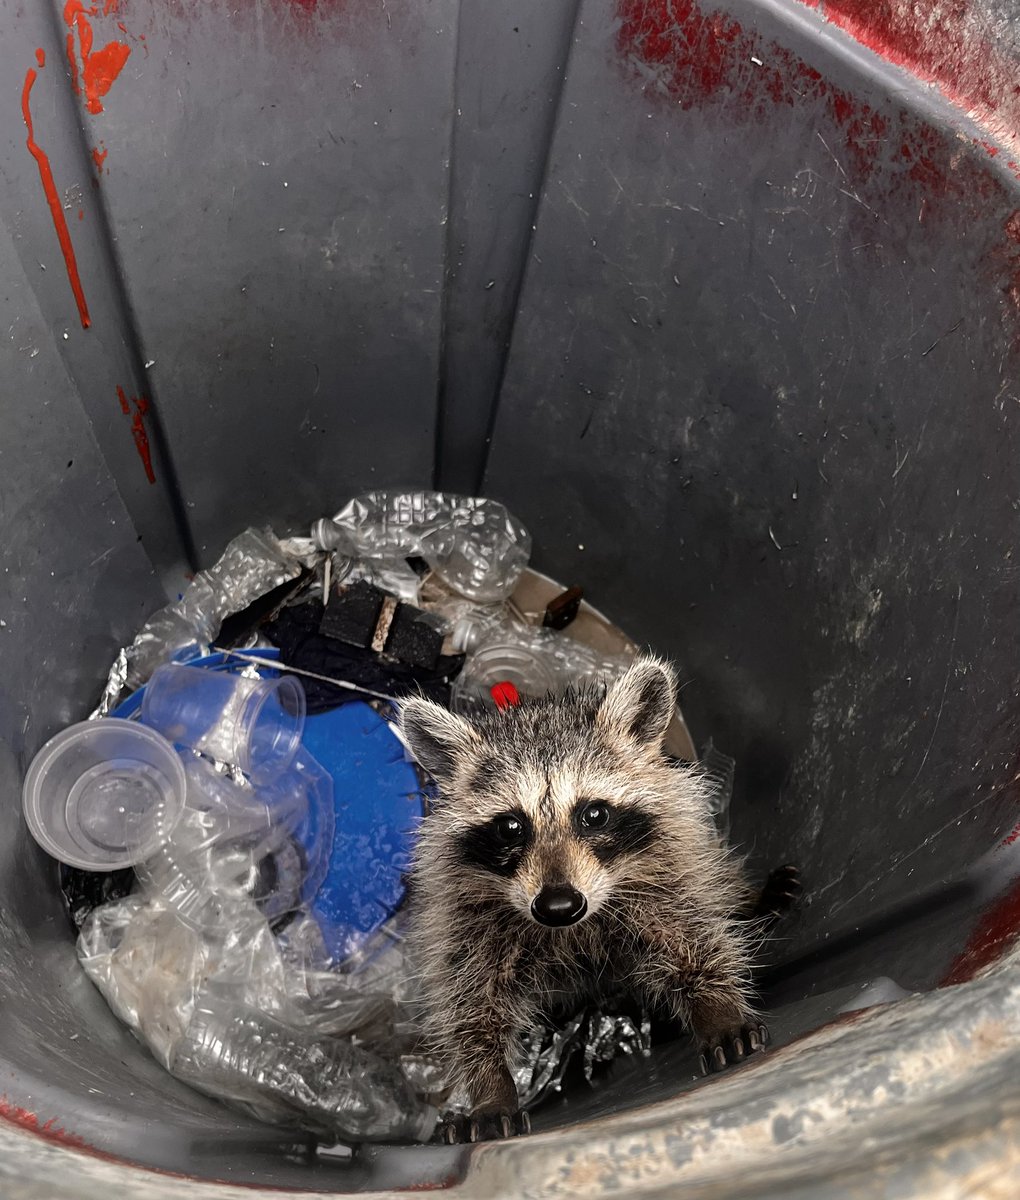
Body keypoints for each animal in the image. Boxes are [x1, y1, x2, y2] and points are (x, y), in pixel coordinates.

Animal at [400, 657, 777, 1144]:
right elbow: (472, 1004)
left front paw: (718, 1009)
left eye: (593, 814)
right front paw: (491, 1086)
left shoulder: (667, 874)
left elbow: (692, 940)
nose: (558, 906)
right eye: (510, 827)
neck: (572, 930)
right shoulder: (466, 918)